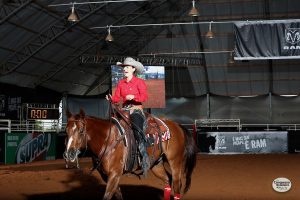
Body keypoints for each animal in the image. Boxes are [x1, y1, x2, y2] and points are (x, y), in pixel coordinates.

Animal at [64, 109, 197, 200]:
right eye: (66, 131)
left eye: (81, 131)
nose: (69, 154)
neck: (107, 139)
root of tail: (177, 126)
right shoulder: (108, 176)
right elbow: (118, 195)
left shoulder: (115, 174)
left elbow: (107, 196)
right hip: (156, 165)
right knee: (167, 180)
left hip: (175, 162)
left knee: (177, 185)